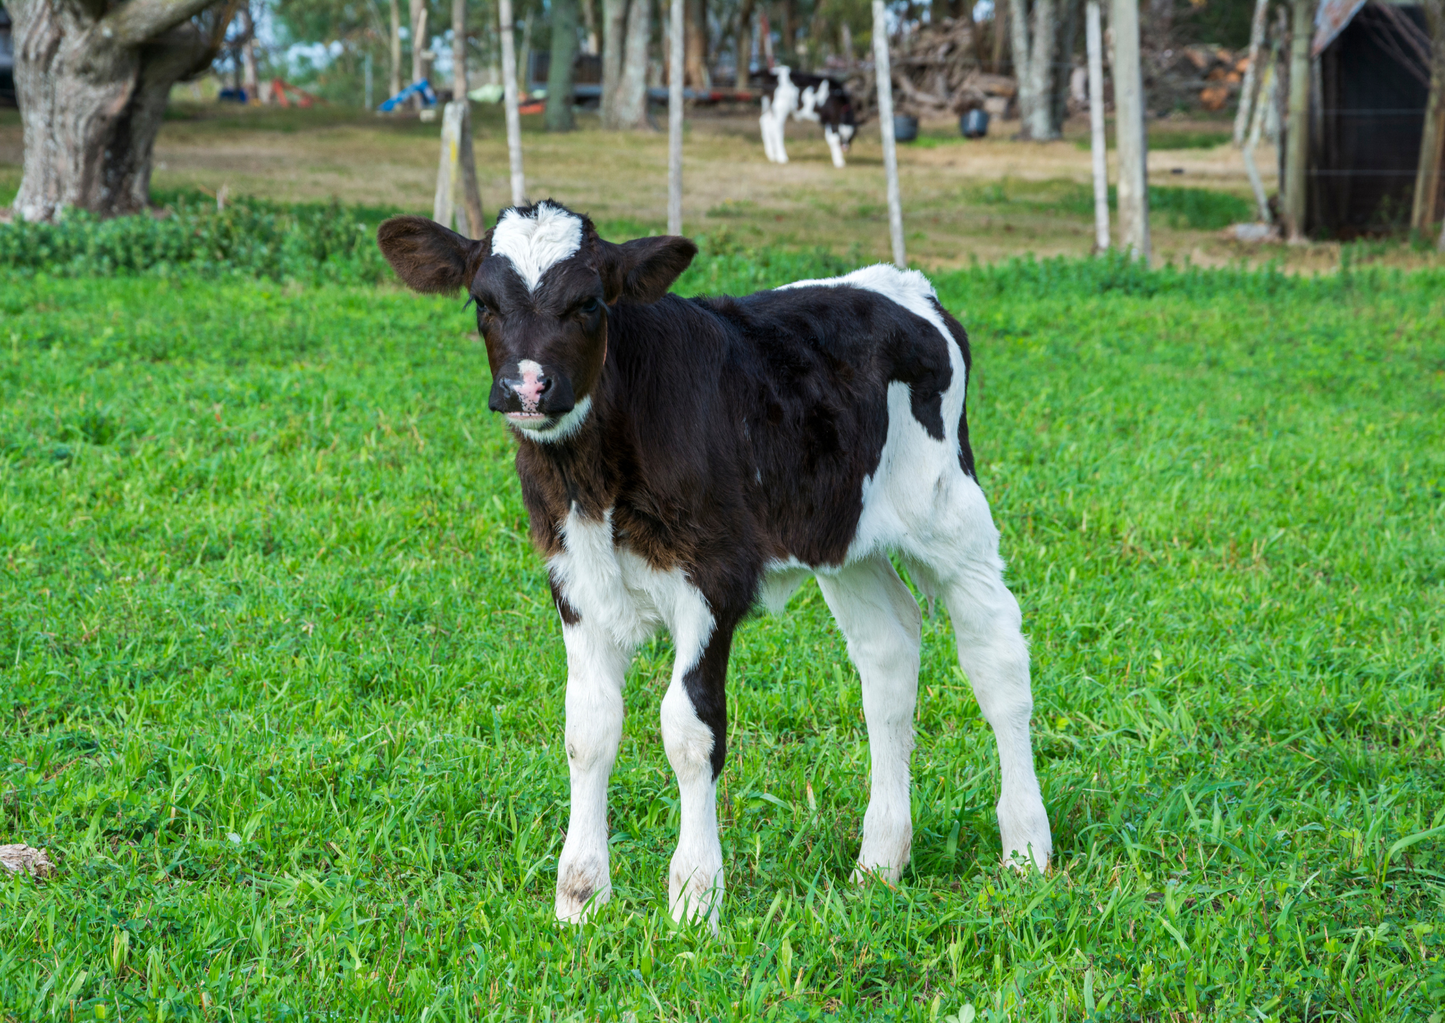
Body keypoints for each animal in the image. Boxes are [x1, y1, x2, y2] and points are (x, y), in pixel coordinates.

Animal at [375, 201, 1052, 930]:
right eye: (483, 302)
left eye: (589, 302)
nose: (526, 386)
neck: (594, 480)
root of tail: (903, 285)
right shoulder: (575, 581)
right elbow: (587, 729)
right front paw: (579, 897)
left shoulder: (713, 577)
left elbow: (689, 729)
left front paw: (695, 897)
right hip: (844, 540)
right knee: (888, 655)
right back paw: (879, 862)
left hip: (952, 513)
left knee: (996, 658)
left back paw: (1024, 849)